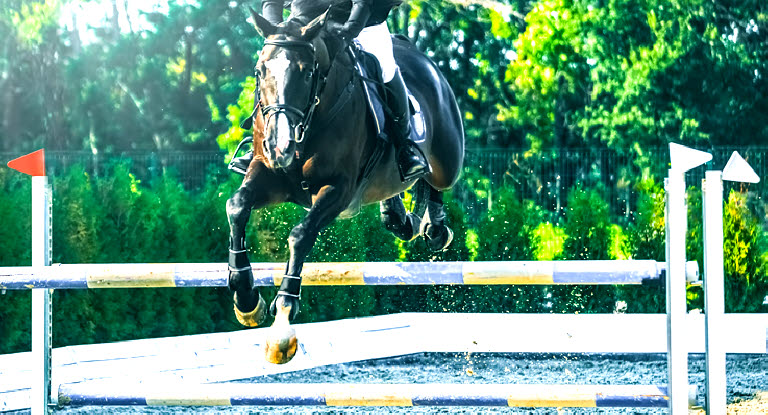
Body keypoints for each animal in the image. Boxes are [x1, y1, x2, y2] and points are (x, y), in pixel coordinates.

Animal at [225, 10, 464, 364]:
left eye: (307, 72)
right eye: (259, 71)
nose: (279, 145)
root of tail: (422, 58)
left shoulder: (338, 190)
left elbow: (300, 234)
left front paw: (283, 320)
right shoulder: (268, 174)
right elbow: (237, 206)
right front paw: (245, 298)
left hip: (447, 161)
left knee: (433, 180)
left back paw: (434, 226)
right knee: (399, 196)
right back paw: (400, 218)